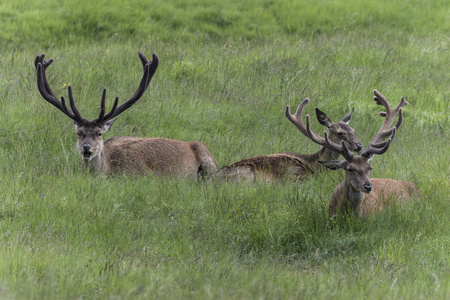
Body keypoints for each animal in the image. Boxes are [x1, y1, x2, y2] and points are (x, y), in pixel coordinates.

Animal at [213, 99, 364, 183]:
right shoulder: (298, 176)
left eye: (354, 130)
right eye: (340, 133)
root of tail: (211, 181)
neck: (314, 165)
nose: (360, 145)